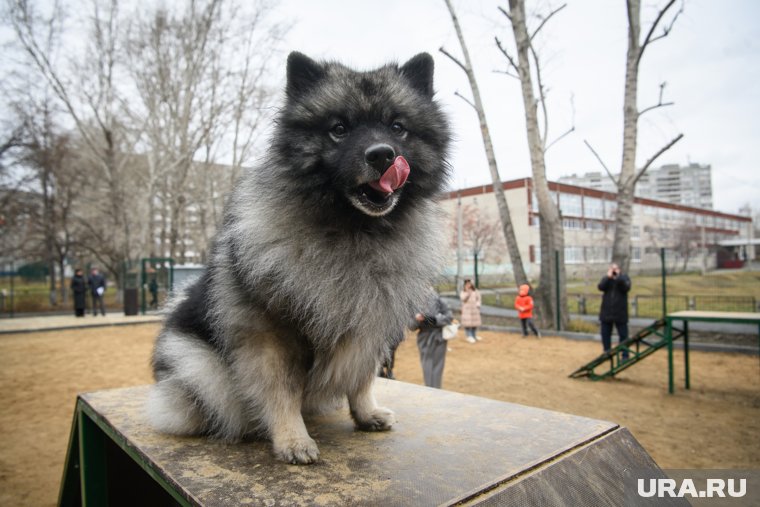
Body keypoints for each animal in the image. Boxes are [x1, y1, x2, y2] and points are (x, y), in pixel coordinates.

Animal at [148, 51, 452, 464]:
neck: (353, 232)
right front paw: (292, 439)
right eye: (339, 128)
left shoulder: (370, 325)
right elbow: (282, 391)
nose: (382, 154)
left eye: (397, 127)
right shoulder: (272, 336)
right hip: (200, 368)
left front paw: (366, 413)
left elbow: (362, 378)